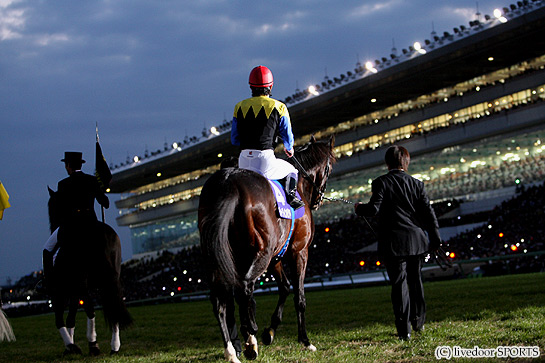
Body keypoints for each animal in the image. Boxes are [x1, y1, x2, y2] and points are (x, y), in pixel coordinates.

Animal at [198, 136, 334, 362]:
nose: (318, 200)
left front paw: (269, 332)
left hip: (216, 257)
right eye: (329, 168)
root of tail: (228, 182)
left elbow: (285, 287)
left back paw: (232, 350)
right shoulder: (299, 252)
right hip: (259, 254)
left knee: (220, 300)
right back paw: (249, 335)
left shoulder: (275, 258)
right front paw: (305, 340)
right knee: (244, 287)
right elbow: (299, 296)